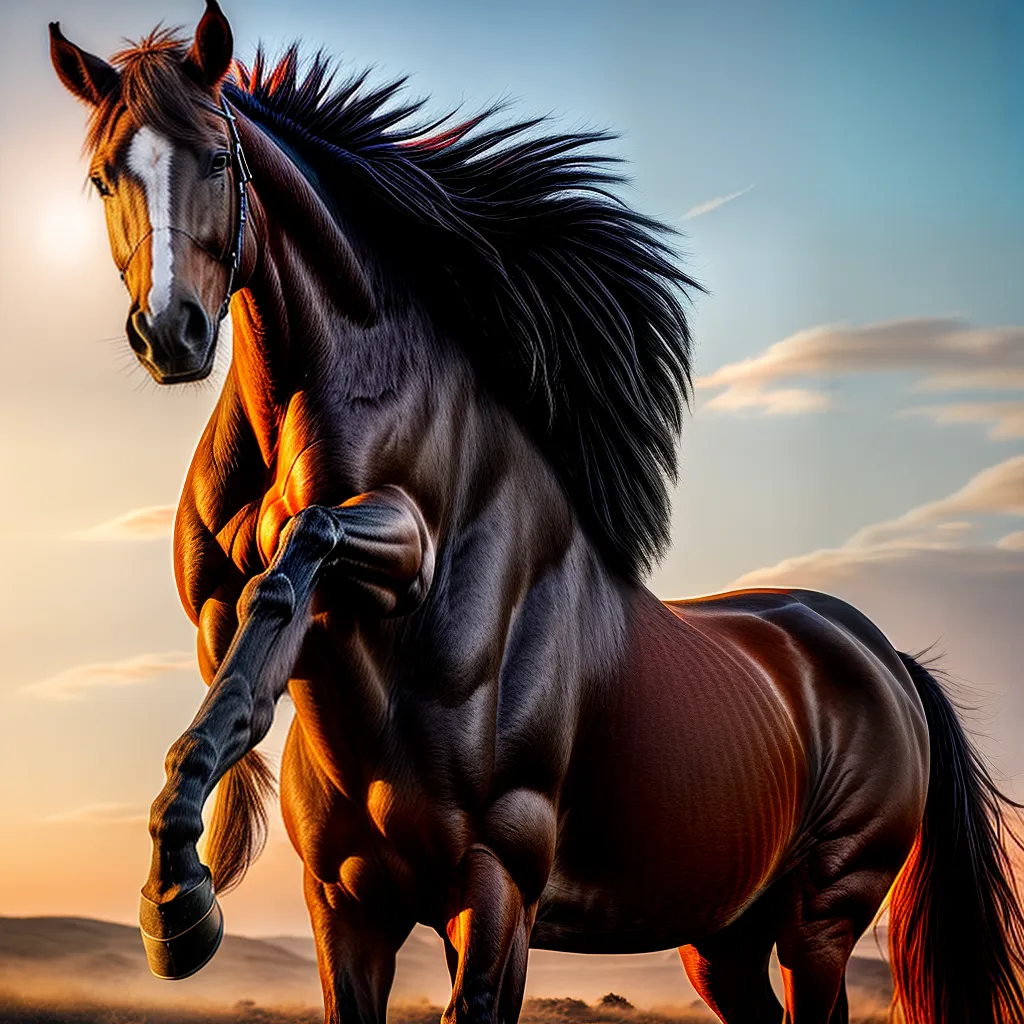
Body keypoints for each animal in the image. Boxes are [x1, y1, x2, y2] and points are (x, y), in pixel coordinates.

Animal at [49, 4, 1024, 1022]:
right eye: (104, 175)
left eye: (215, 159)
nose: (172, 333)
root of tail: (890, 660)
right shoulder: (345, 908)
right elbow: (240, 648)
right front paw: (175, 890)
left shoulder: (495, 889)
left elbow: (300, 555)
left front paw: (178, 900)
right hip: (721, 939)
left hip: (821, 919)